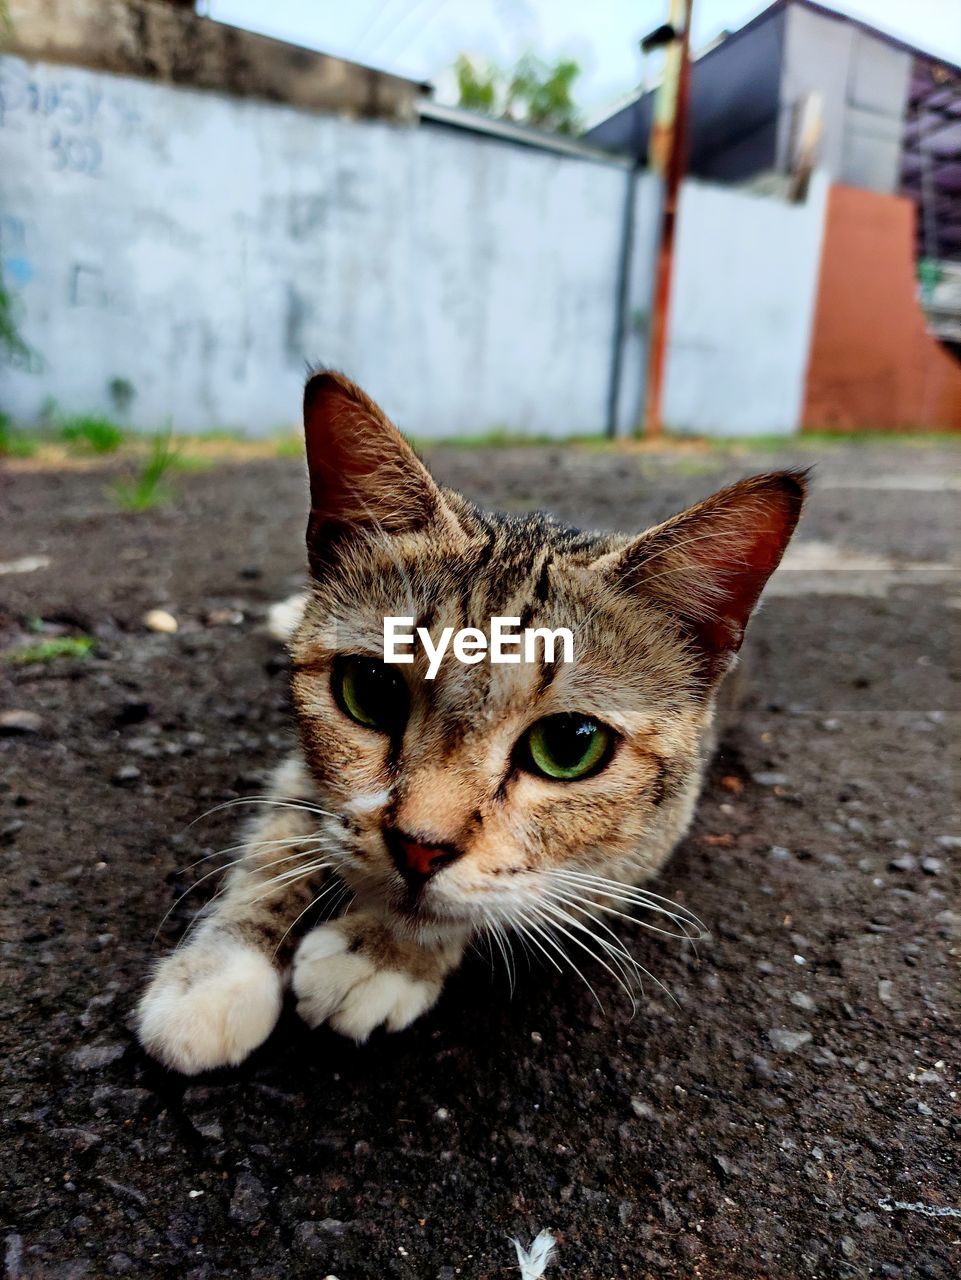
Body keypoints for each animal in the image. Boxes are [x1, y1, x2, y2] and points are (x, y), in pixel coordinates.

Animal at [131, 373, 798, 1080]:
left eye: (569, 746)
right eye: (372, 692)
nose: (418, 848)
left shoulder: (641, 849)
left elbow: (502, 897)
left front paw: (386, 953)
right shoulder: (305, 774)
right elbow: (277, 843)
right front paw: (216, 972)